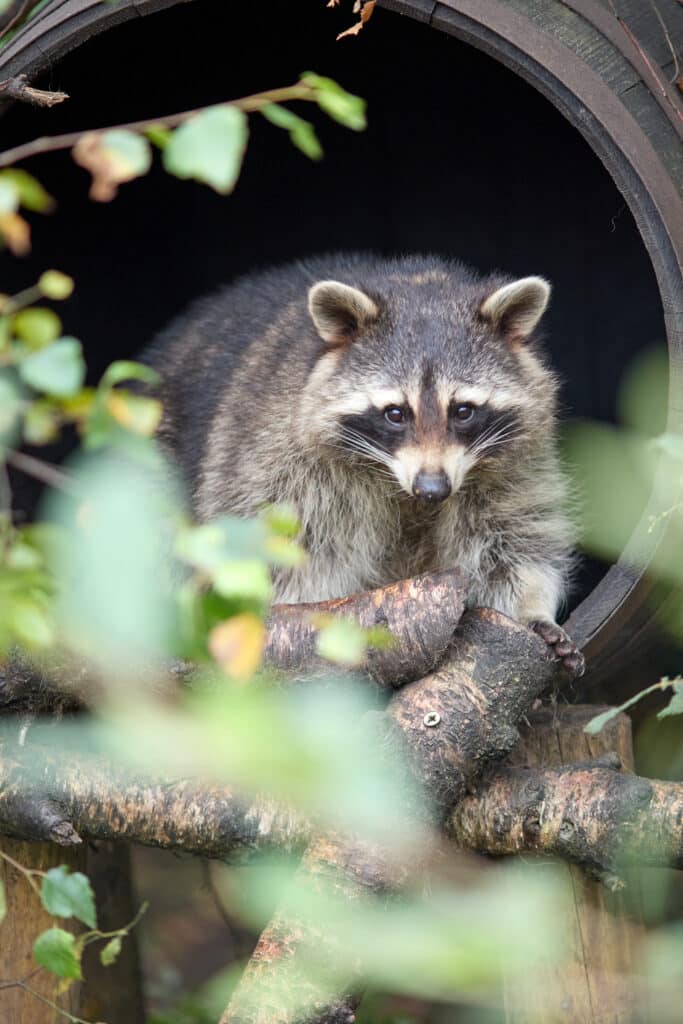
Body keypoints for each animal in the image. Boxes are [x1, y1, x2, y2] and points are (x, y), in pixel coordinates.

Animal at [145, 253, 583, 675]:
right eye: (395, 413)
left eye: (463, 411)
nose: (432, 488)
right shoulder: (281, 463)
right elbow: (295, 561)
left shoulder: (514, 463)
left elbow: (513, 539)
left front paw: (530, 611)